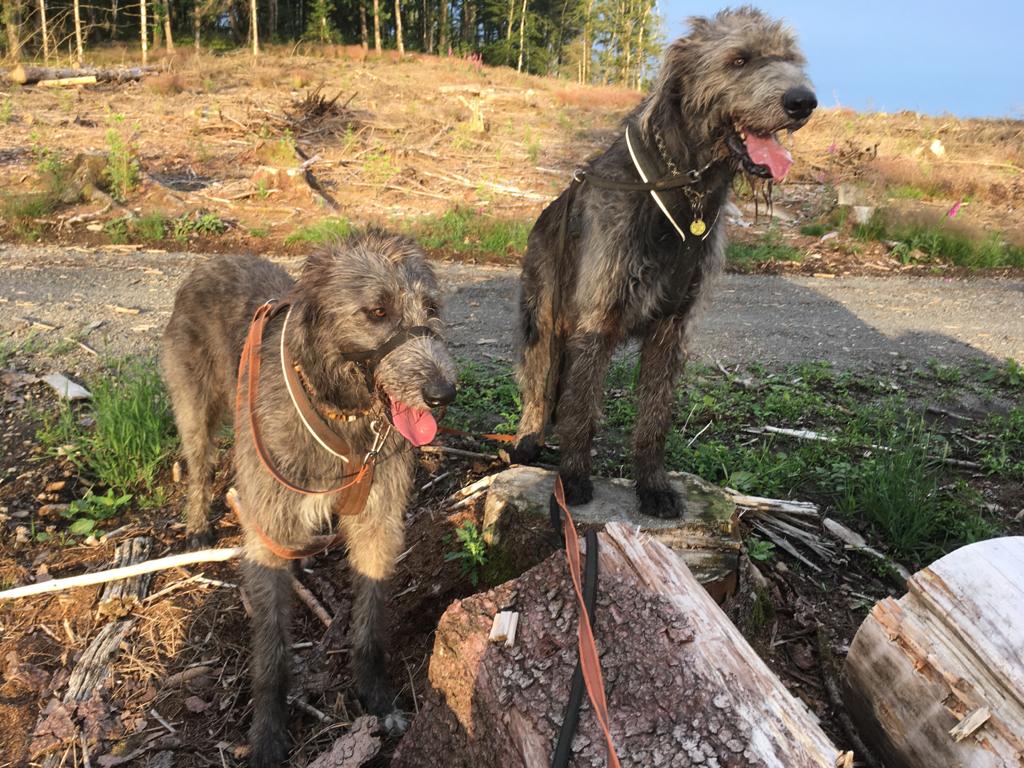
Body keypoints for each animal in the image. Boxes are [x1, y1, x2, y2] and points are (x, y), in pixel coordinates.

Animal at [160, 231, 457, 766]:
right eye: (377, 311)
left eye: (431, 308)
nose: (443, 393)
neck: (338, 408)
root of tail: (212, 261)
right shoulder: (268, 527)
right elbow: (272, 651)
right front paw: (268, 733)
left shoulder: (378, 522)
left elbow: (370, 620)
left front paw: (377, 696)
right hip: (195, 403)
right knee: (199, 462)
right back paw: (196, 522)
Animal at [510, 7, 816, 518]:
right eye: (739, 59)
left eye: (790, 59)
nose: (803, 102)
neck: (682, 188)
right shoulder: (595, 318)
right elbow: (579, 409)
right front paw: (572, 479)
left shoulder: (672, 325)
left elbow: (654, 416)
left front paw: (652, 484)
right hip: (544, 314)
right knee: (539, 383)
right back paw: (527, 439)